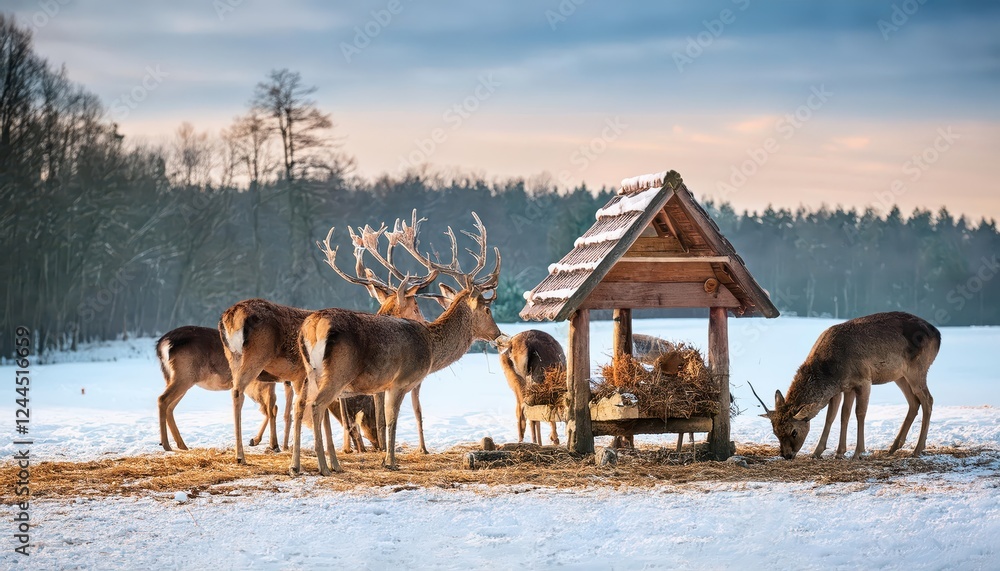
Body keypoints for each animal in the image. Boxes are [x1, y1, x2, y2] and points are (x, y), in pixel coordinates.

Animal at [156, 325, 292, 453]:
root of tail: (163, 345)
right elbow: (271, 409)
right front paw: (274, 445)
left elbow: (271, 409)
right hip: (185, 374)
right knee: (163, 399)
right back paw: (166, 444)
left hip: (177, 378)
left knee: (170, 406)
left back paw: (181, 445)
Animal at [293, 211, 505, 475]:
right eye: (487, 310)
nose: (497, 333)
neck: (430, 346)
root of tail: (313, 326)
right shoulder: (400, 380)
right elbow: (392, 419)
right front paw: (390, 461)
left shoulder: (385, 385)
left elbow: (386, 419)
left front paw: (386, 458)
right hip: (337, 372)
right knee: (316, 406)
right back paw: (324, 466)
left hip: (309, 371)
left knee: (299, 405)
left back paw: (299, 465)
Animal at [751, 311, 940, 460]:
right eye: (775, 431)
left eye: (794, 432)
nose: (786, 455)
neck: (832, 372)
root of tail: (937, 335)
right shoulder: (844, 388)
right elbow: (838, 416)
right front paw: (827, 452)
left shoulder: (864, 379)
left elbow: (860, 413)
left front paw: (858, 452)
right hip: (900, 376)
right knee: (914, 402)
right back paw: (893, 448)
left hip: (918, 369)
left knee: (928, 400)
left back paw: (917, 449)